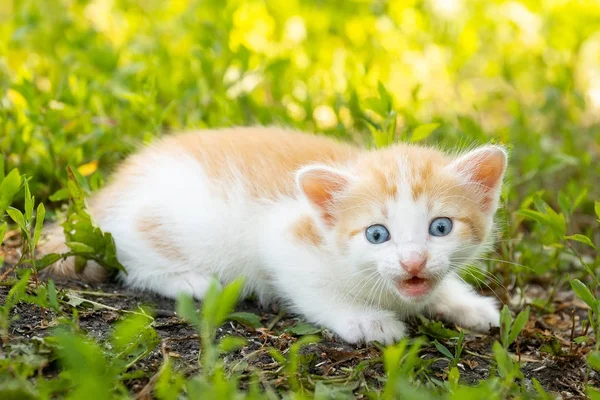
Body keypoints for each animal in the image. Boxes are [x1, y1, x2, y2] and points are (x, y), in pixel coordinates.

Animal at [39, 127, 504, 344]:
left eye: (440, 227)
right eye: (377, 234)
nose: (413, 261)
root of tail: (110, 190)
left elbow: (439, 285)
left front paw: (466, 304)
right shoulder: (283, 239)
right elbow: (313, 289)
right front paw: (366, 319)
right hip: (157, 225)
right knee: (129, 258)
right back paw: (191, 280)